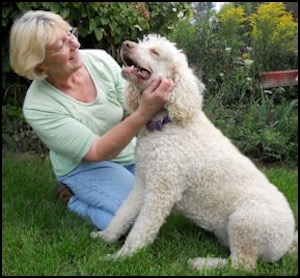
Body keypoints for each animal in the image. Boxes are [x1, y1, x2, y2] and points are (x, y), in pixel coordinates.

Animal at [90, 33, 296, 270]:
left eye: (155, 52)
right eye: (143, 43)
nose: (125, 44)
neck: (166, 122)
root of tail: (288, 242)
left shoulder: (162, 190)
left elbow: (141, 229)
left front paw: (123, 256)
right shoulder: (143, 182)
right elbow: (122, 215)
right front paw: (105, 237)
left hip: (246, 220)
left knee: (241, 265)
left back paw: (202, 263)